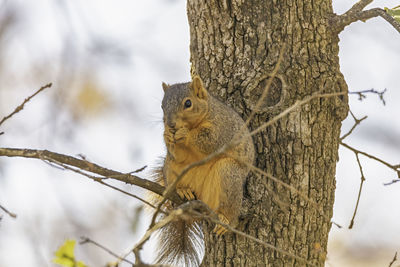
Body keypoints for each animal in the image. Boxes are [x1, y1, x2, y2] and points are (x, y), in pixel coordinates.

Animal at [152, 76, 255, 266]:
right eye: (162, 106)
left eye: (188, 103)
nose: (170, 125)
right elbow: (179, 155)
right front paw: (167, 136)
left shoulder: (221, 129)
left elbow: (208, 140)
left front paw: (184, 133)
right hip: (170, 169)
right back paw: (182, 190)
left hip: (228, 172)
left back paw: (226, 219)